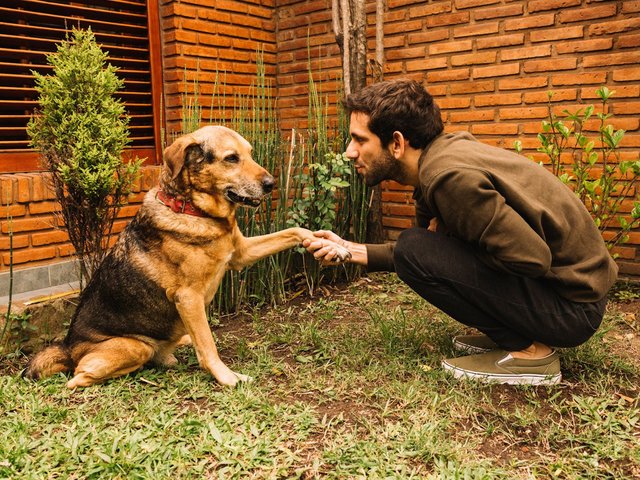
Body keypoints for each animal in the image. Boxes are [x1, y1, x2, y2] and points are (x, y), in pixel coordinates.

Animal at [25, 125, 348, 388]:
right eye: (231, 158)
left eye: (250, 153)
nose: (271, 184)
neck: (195, 210)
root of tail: (67, 347)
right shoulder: (188, 298)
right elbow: (208, 346)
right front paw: (227, 377)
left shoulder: (240, 254)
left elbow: (294, 230)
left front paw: (332, 245)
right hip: (132, 347)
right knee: (79, 377)